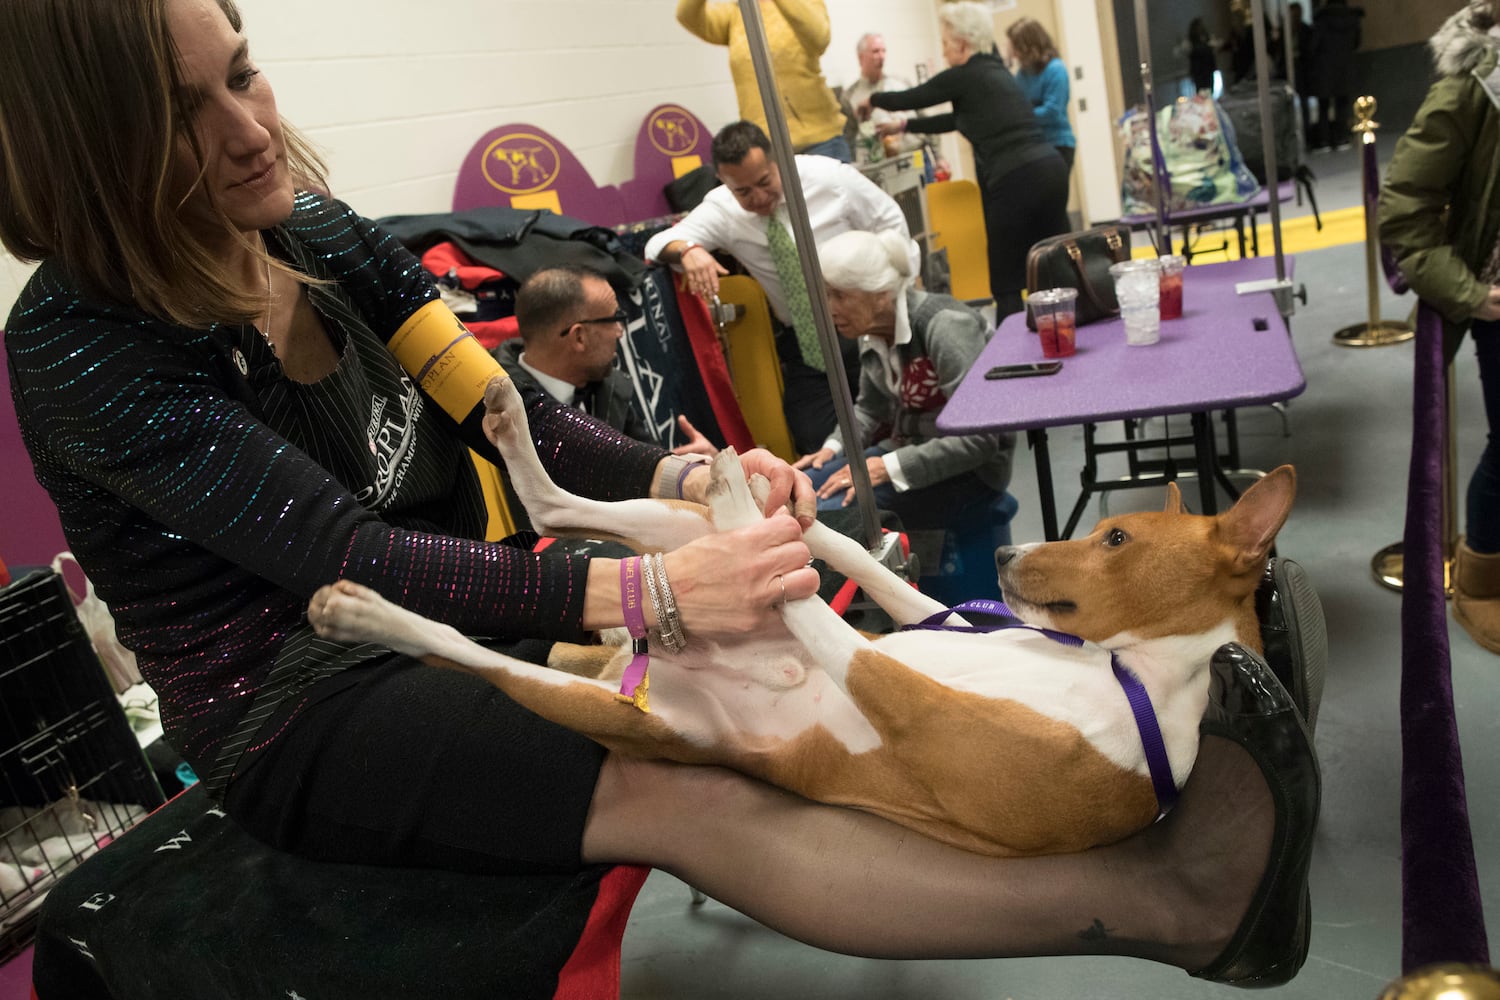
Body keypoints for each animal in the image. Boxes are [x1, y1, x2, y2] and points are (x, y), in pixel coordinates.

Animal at [310, 377, 1296, 863]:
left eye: (1117, 535)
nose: (1007, 560)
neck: (1120, 669)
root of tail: (643, 664)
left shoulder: (917, 704)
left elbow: (824, 611)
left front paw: (759, 508)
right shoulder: (924, 624)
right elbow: (843, 557)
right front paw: (773, 488)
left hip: (598, 706)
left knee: (468, 643)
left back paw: (359, 606)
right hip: (668, 553)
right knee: (564, 509)